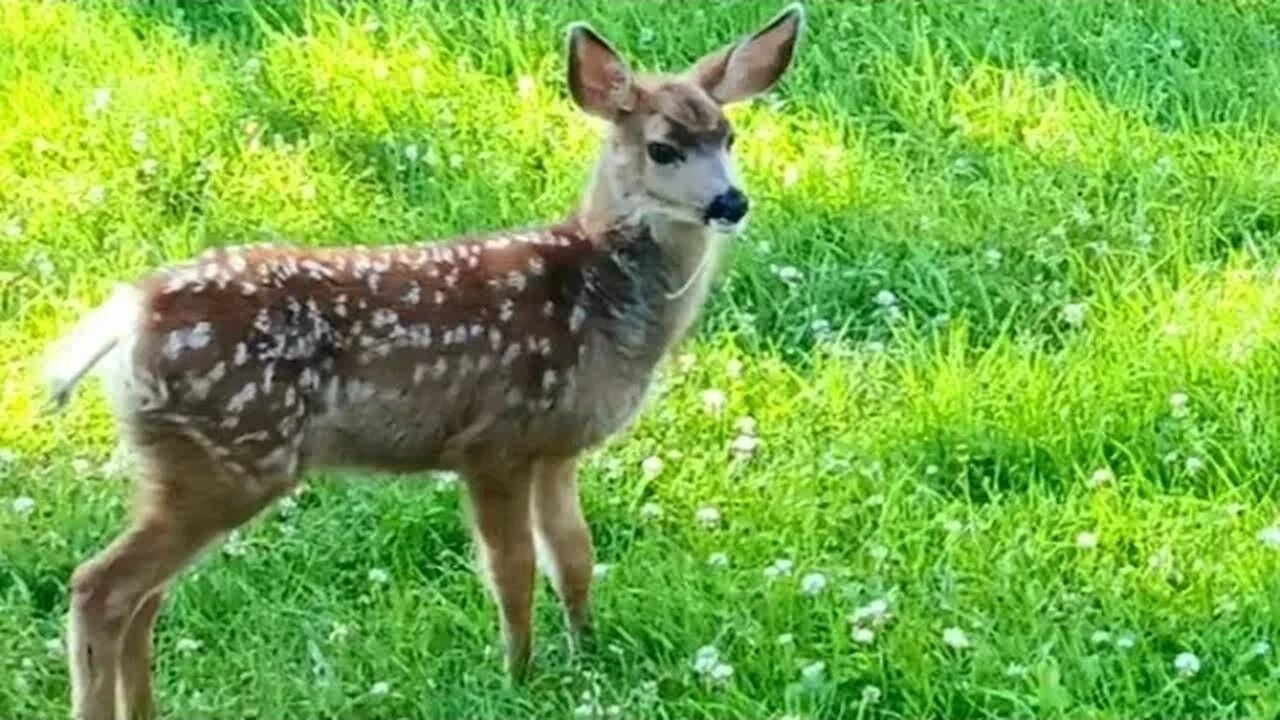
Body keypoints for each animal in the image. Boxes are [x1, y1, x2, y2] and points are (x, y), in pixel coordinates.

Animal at [45, 7, 803, 717]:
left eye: (729, 138)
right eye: (663, 148)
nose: (731, 201)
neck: (596, 296)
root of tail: (128, 314)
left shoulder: (556, 447)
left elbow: (575, 556)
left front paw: (587, 652)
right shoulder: (493, 440)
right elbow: (513, 570)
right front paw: (519, 675)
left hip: (189, 464)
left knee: (144, 596)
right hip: (229, 454)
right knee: (101, 587)